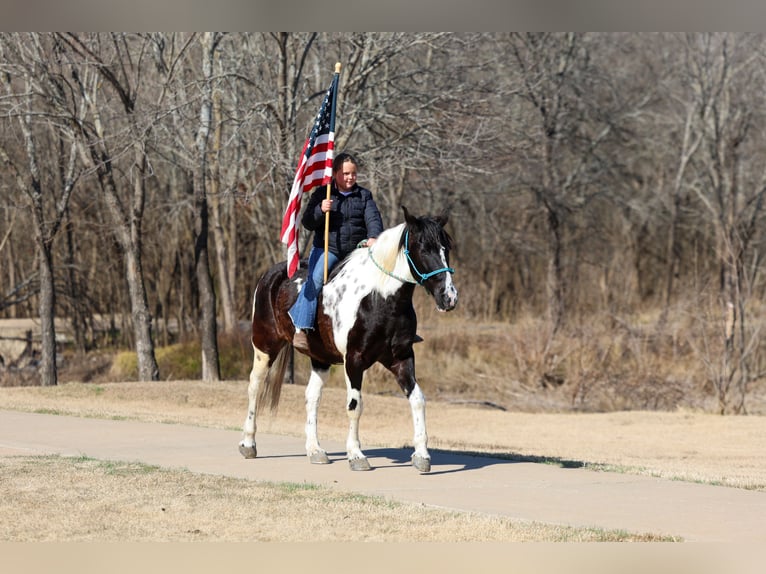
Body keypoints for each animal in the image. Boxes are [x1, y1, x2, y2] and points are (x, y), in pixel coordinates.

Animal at [238, 206, 458, 472]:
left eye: (446, 248)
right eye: (424, 249)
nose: (449, 297)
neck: (379, 299)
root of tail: (272, 275)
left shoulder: (401, 358)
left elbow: (417, 400)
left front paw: (422, 455)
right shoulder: (354, 360)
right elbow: (355, 405)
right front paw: (356, 455)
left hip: (320, 358)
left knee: (312, 397)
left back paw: (315, 450)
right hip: (265, 346)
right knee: (255, 386)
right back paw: (248, 444)